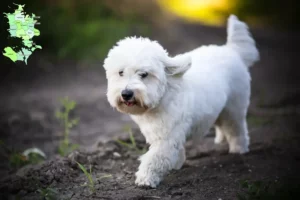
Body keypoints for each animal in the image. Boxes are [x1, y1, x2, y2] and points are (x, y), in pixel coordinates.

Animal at [102, 15, 258, 188]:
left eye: (144, 74)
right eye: (120, 72)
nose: (126, 94)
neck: (163, 96)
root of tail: (231, 50)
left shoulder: (167, 137)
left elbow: (155, 158)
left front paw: (146, 178)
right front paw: (176, 164)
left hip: (234, 107)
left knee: (236, 128)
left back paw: (239, 148)